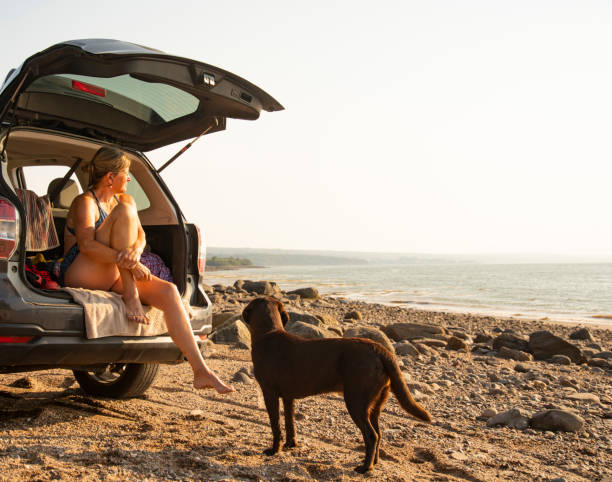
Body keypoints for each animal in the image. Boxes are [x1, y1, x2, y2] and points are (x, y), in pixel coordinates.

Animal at [241, 296, 432, 472]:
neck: (268, 333)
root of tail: (380, 349)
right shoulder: (289, 397)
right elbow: (290, 423)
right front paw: (290, 445)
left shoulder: (269, 393)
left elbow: (275, 425)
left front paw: (274, 450)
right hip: (374, 404)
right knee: (378, 433)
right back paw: (374, 462)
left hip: (356, 401)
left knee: (371, 436)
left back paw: (365, 468)